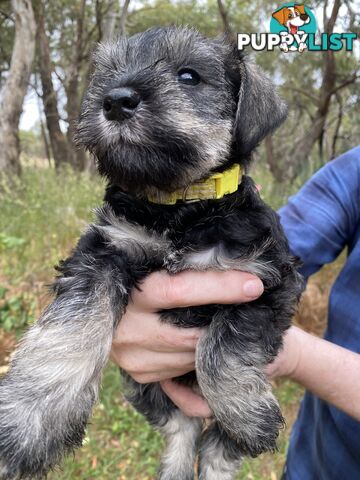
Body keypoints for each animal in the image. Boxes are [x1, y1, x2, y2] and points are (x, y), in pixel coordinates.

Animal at [0, 27, 304, 480]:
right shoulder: (104, 251)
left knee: (217, 446)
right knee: (183, 427)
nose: (115, 100)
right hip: (143, 385)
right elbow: (69, 331)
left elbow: (222, 346)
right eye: (108, 72)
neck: (178, 205)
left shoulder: (266, 278)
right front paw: (26, 419)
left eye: (189, 75)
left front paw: (246, 413)